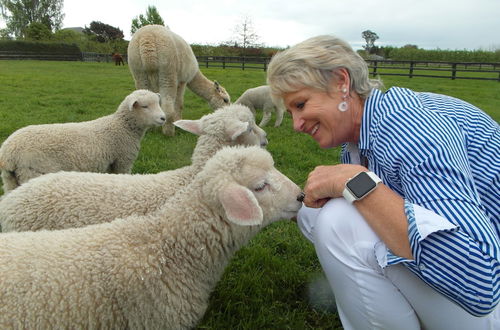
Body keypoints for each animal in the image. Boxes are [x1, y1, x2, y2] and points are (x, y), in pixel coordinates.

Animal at [0, 89, 166, 195]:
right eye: (145, 106)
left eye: (159, 103)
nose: (163, 118)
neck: (122, 127)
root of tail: (8, 153)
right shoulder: (122, 161)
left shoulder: (111, 164)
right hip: (32, 172)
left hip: (10, 179)